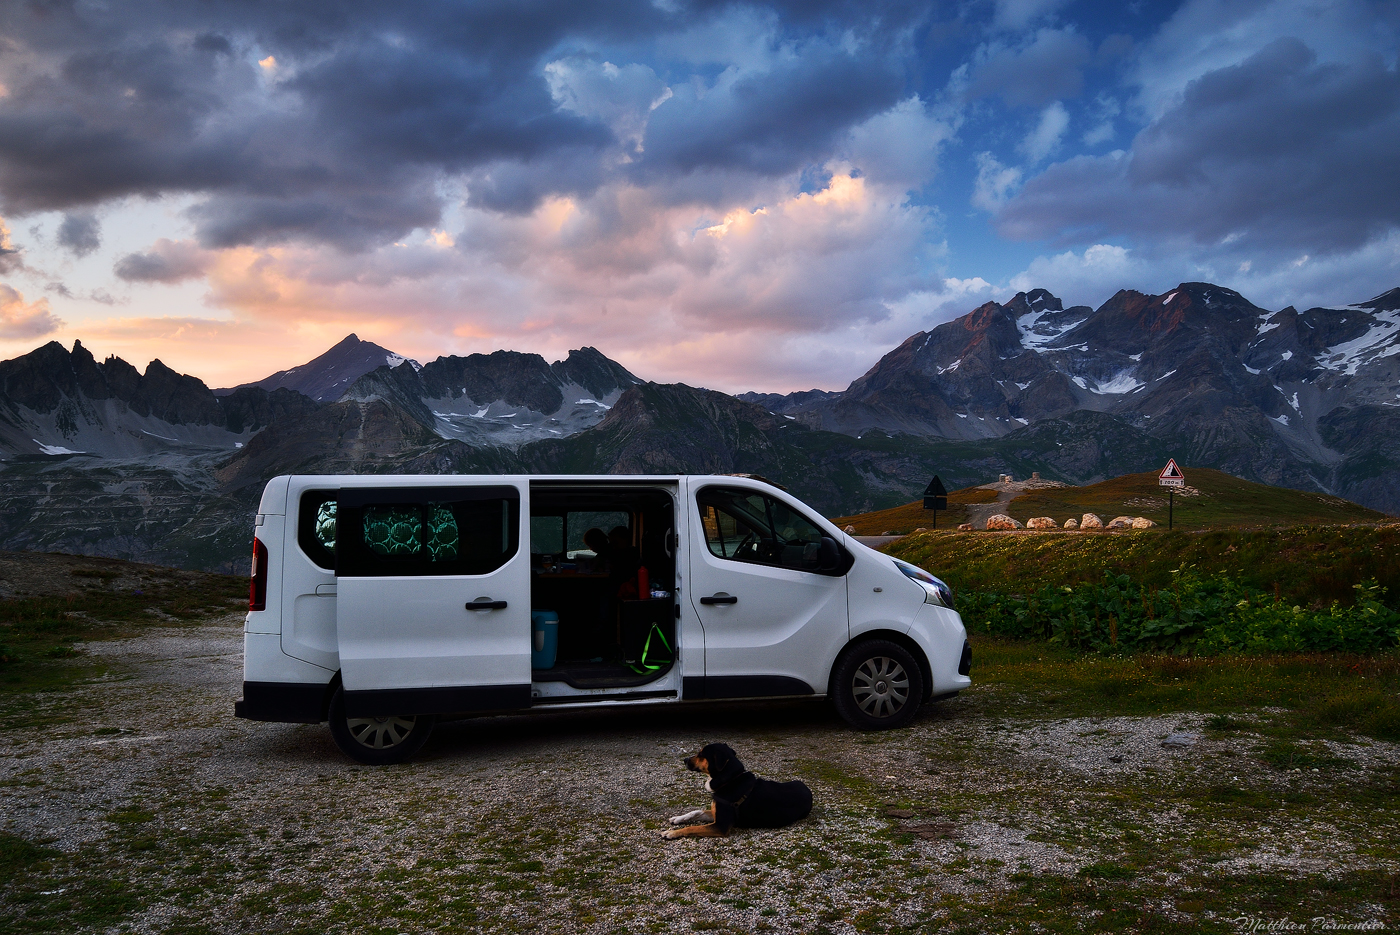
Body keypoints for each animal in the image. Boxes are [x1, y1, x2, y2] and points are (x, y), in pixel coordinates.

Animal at [663, 744, 817, 839]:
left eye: (701, 754)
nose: (684, 759)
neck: (729, 779)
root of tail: (808, 790)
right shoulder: (716, 814)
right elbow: (695, 812)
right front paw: (677, 819)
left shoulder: (721, 826)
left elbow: (692, 828)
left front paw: (672, 833)